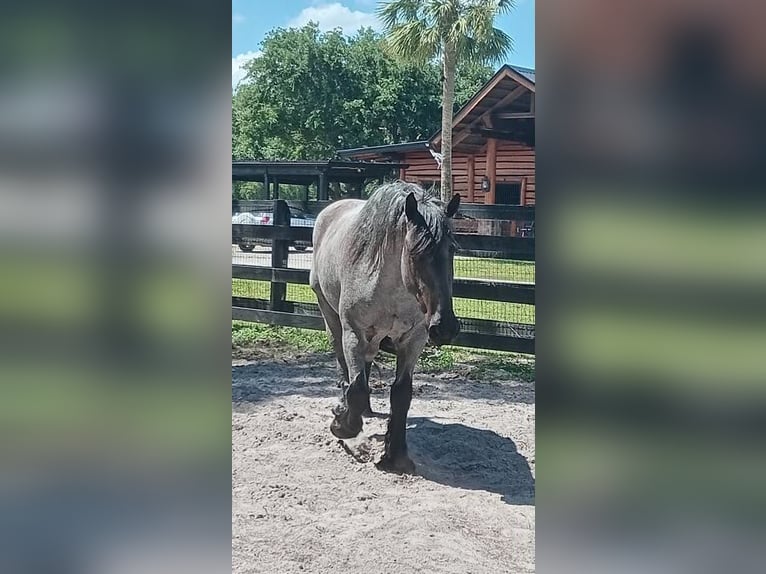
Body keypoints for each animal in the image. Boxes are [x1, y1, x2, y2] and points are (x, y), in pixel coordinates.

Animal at [309, 181, 461, 473]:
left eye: (452, 249)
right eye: (415, 252)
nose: (445, 327)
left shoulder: (413, 341)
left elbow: (401, 395)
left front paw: (397, 454)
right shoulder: (354, 333)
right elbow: (355, 387)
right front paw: (343, 425)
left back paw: (366, 411)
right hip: (331, 317)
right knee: (345, 370)